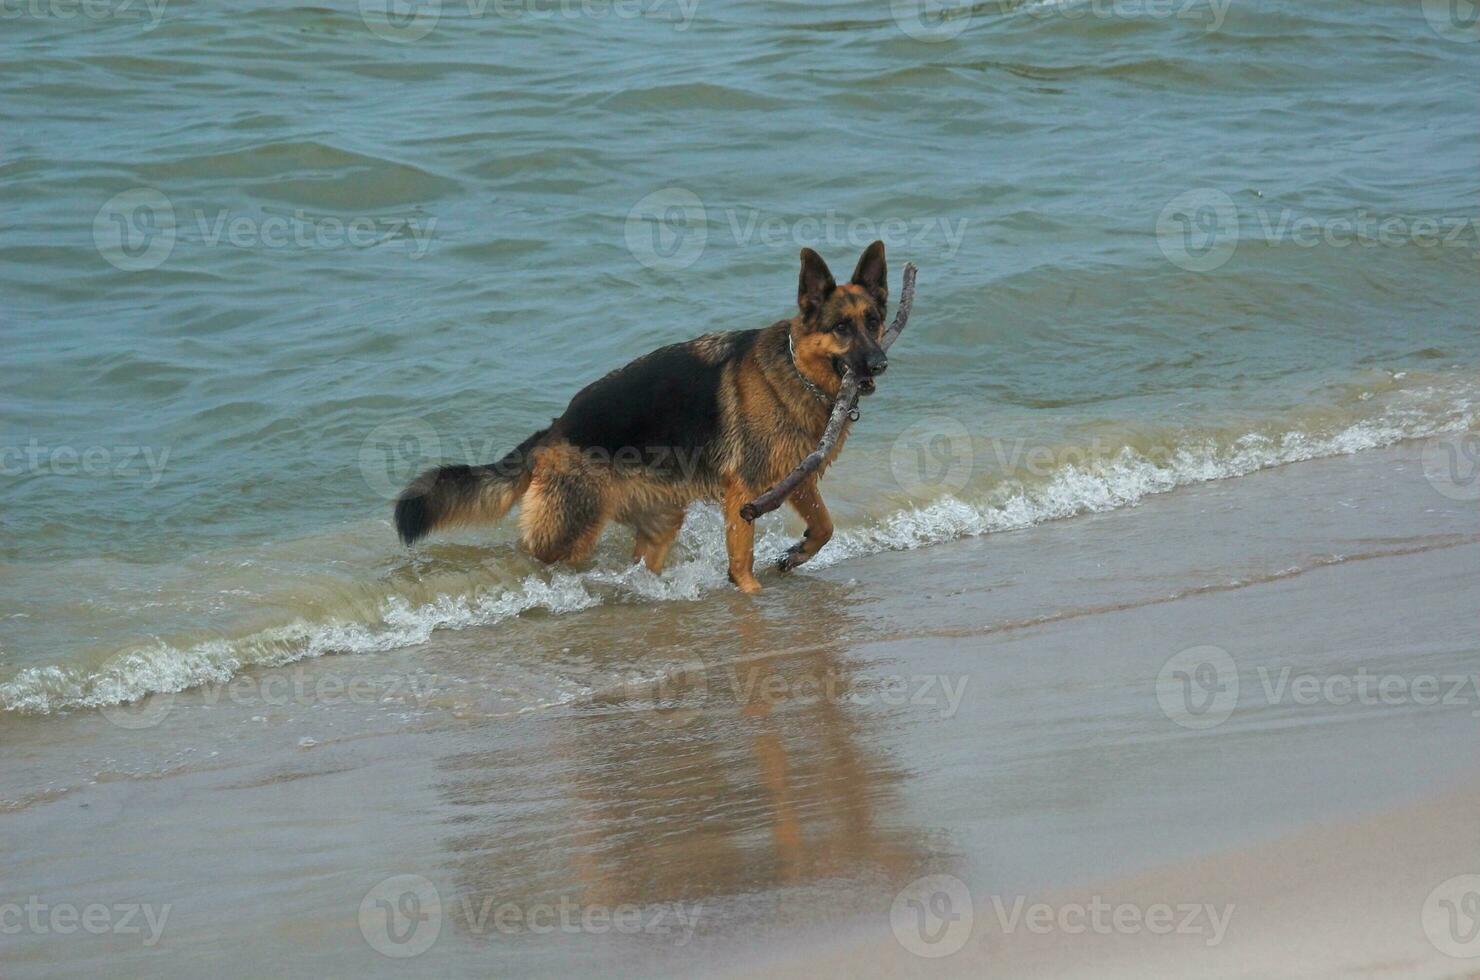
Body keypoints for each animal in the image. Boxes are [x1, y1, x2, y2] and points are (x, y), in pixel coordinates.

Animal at [393, 238, 888, 595]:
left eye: (874, 321)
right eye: (841, 327)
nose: (879, 363)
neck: (795, 371)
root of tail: (555, 429)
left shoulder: (795, 479)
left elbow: (824, 526)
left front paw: (798, 553)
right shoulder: (744, 492)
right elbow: (741, 560)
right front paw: (749, 593)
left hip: (659, 521)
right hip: (569, 531)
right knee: (531, 556)